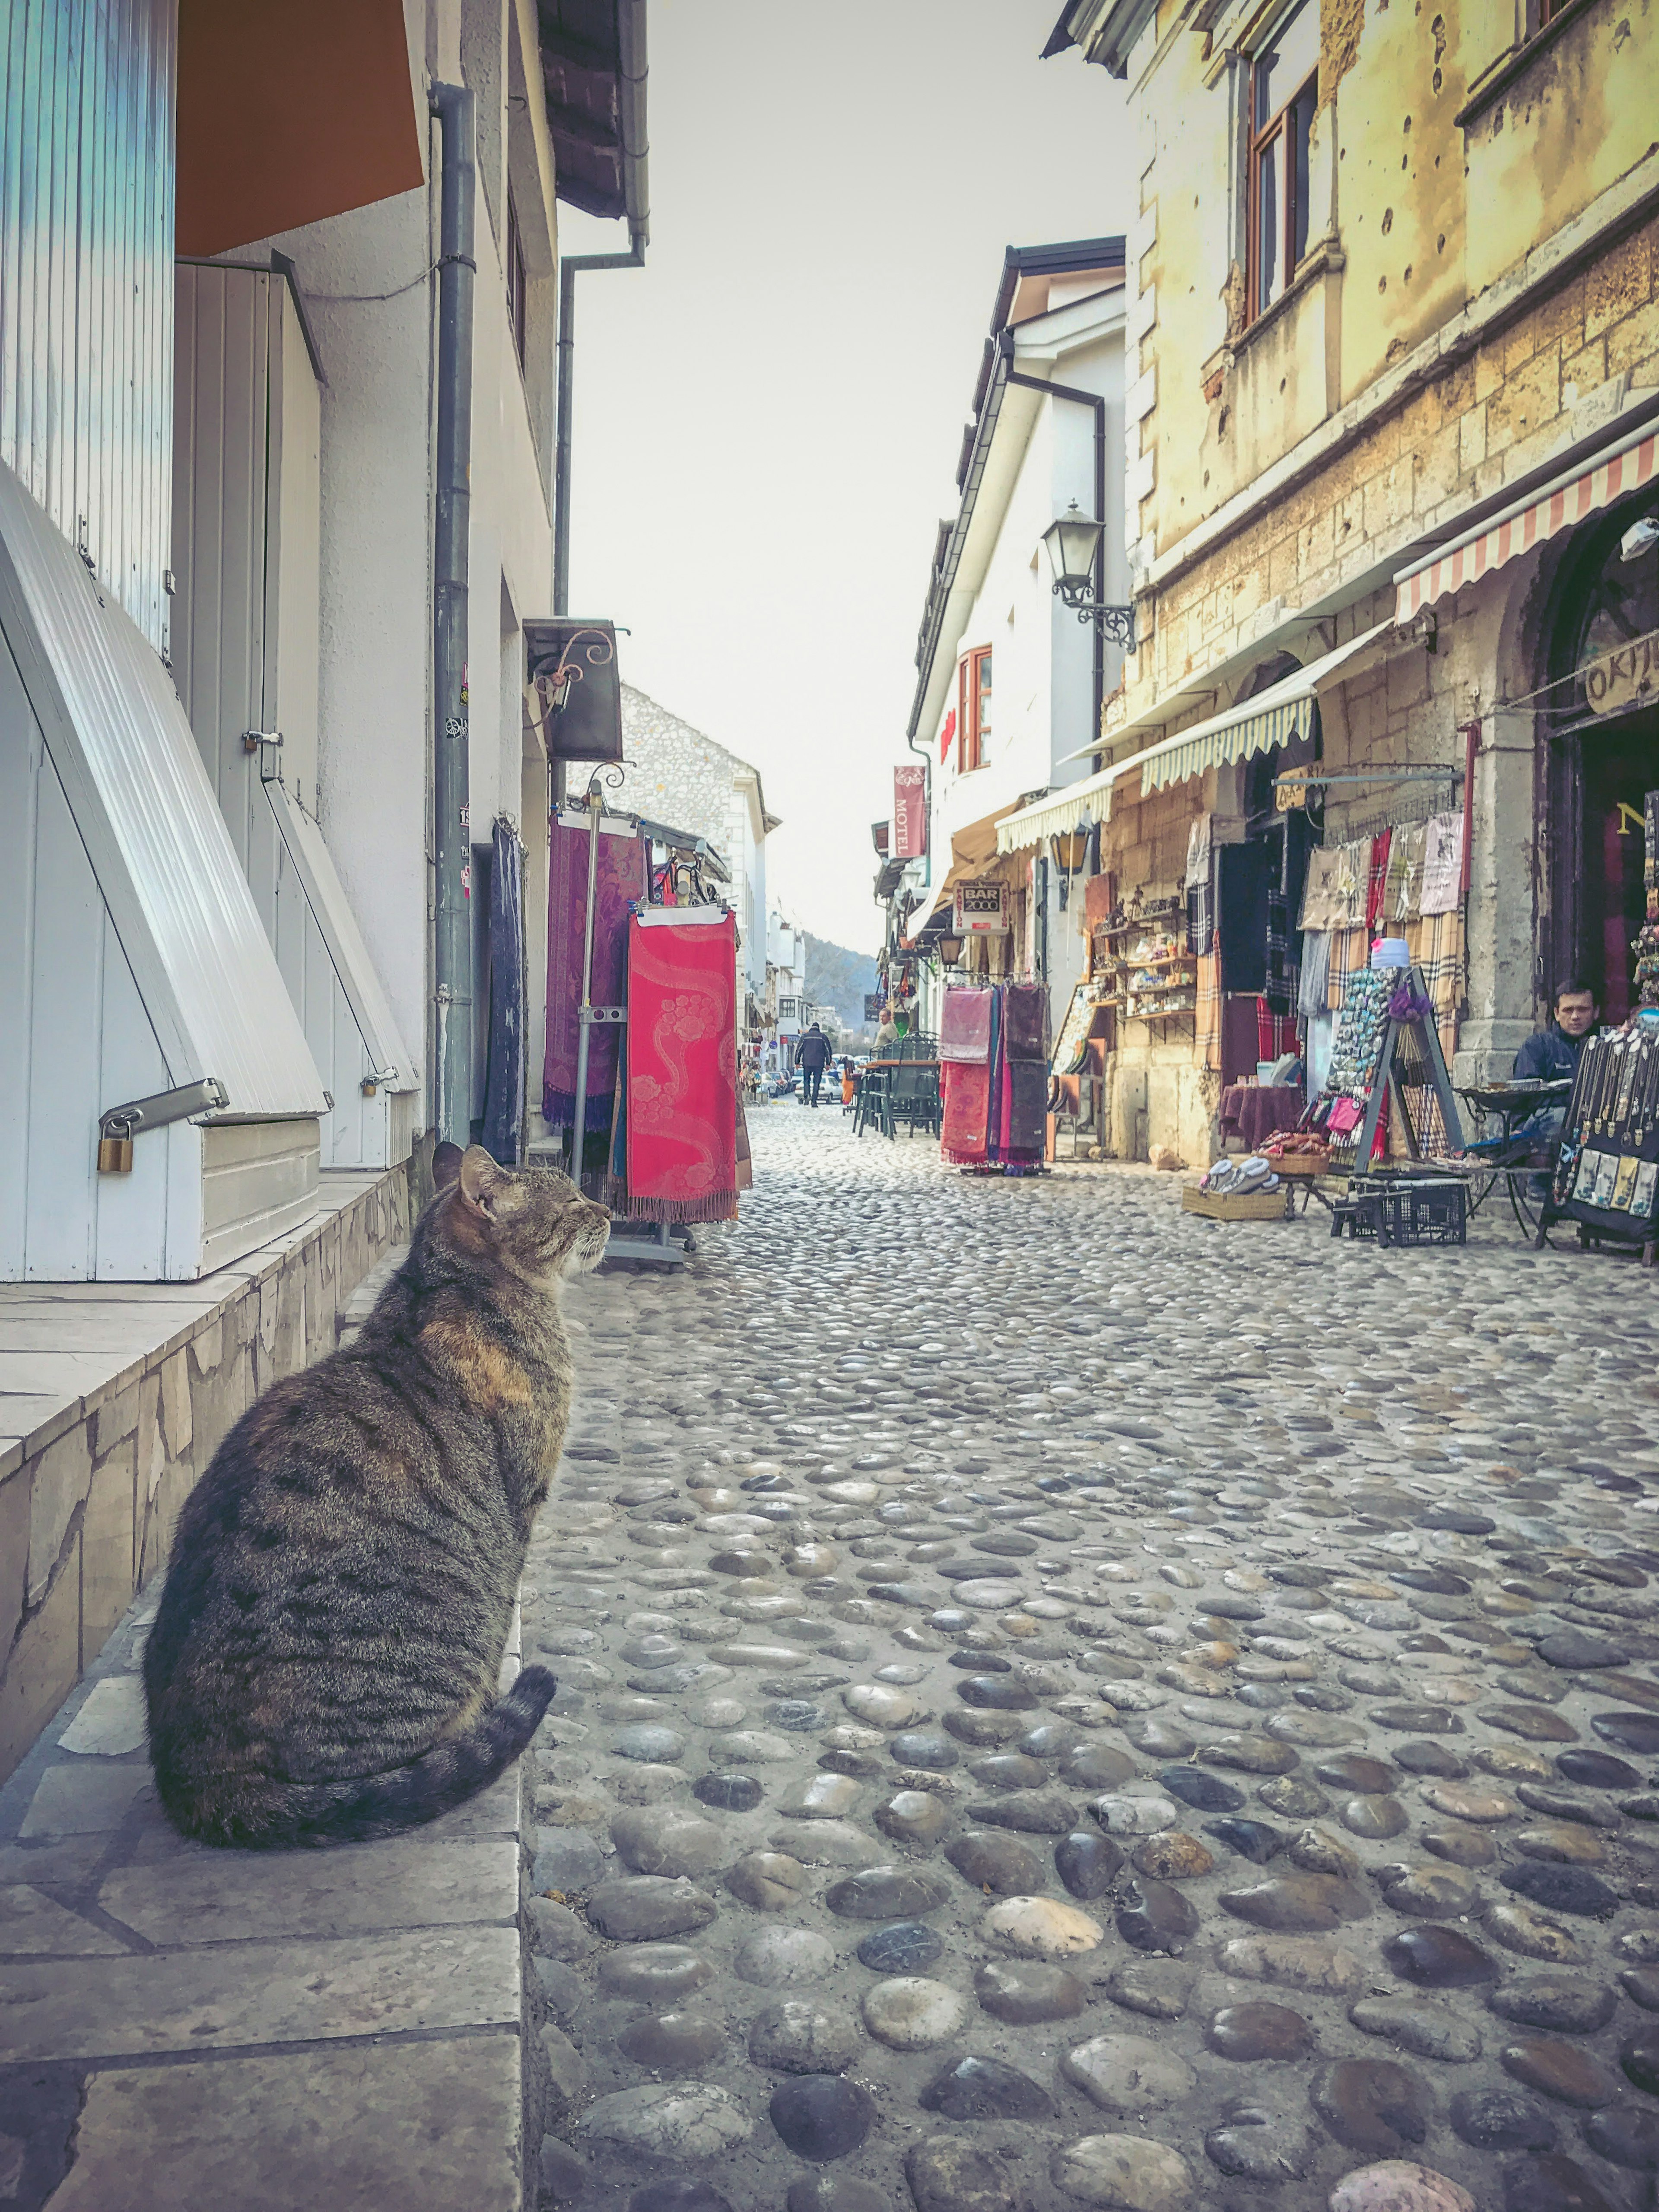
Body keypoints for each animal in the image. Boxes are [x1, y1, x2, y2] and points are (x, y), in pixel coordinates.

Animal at [145, 1141, 610, 1849]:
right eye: (572, 1201)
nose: (609, 1209)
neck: (450, 1286)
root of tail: (196, 1775)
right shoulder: (523, 1501)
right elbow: (507, 1603)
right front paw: (496, 1695)